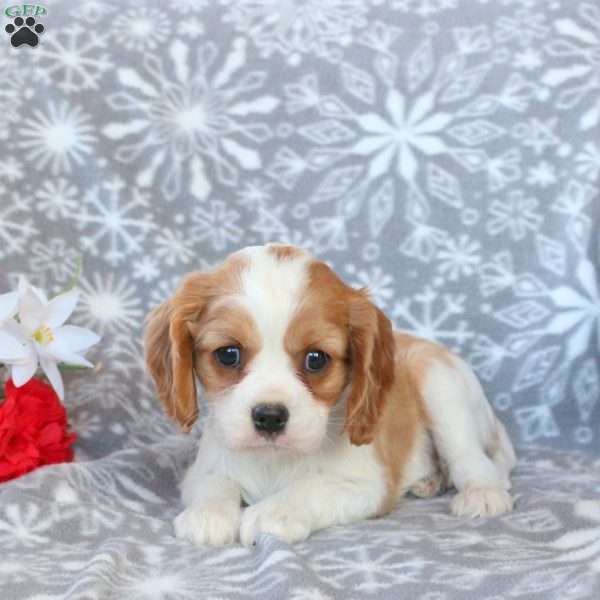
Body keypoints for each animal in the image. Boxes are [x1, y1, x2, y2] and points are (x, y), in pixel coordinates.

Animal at [145, 243, 516, 544]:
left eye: (316, 359)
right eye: (228, 354)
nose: (269, 417)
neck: (273, 461)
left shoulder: (365, 485)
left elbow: (310, 487)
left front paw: (274, 512)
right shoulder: (202, 469)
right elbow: (215, 483)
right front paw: (207, 514)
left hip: (440, 384)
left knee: (470, 458)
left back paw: (483, 493)